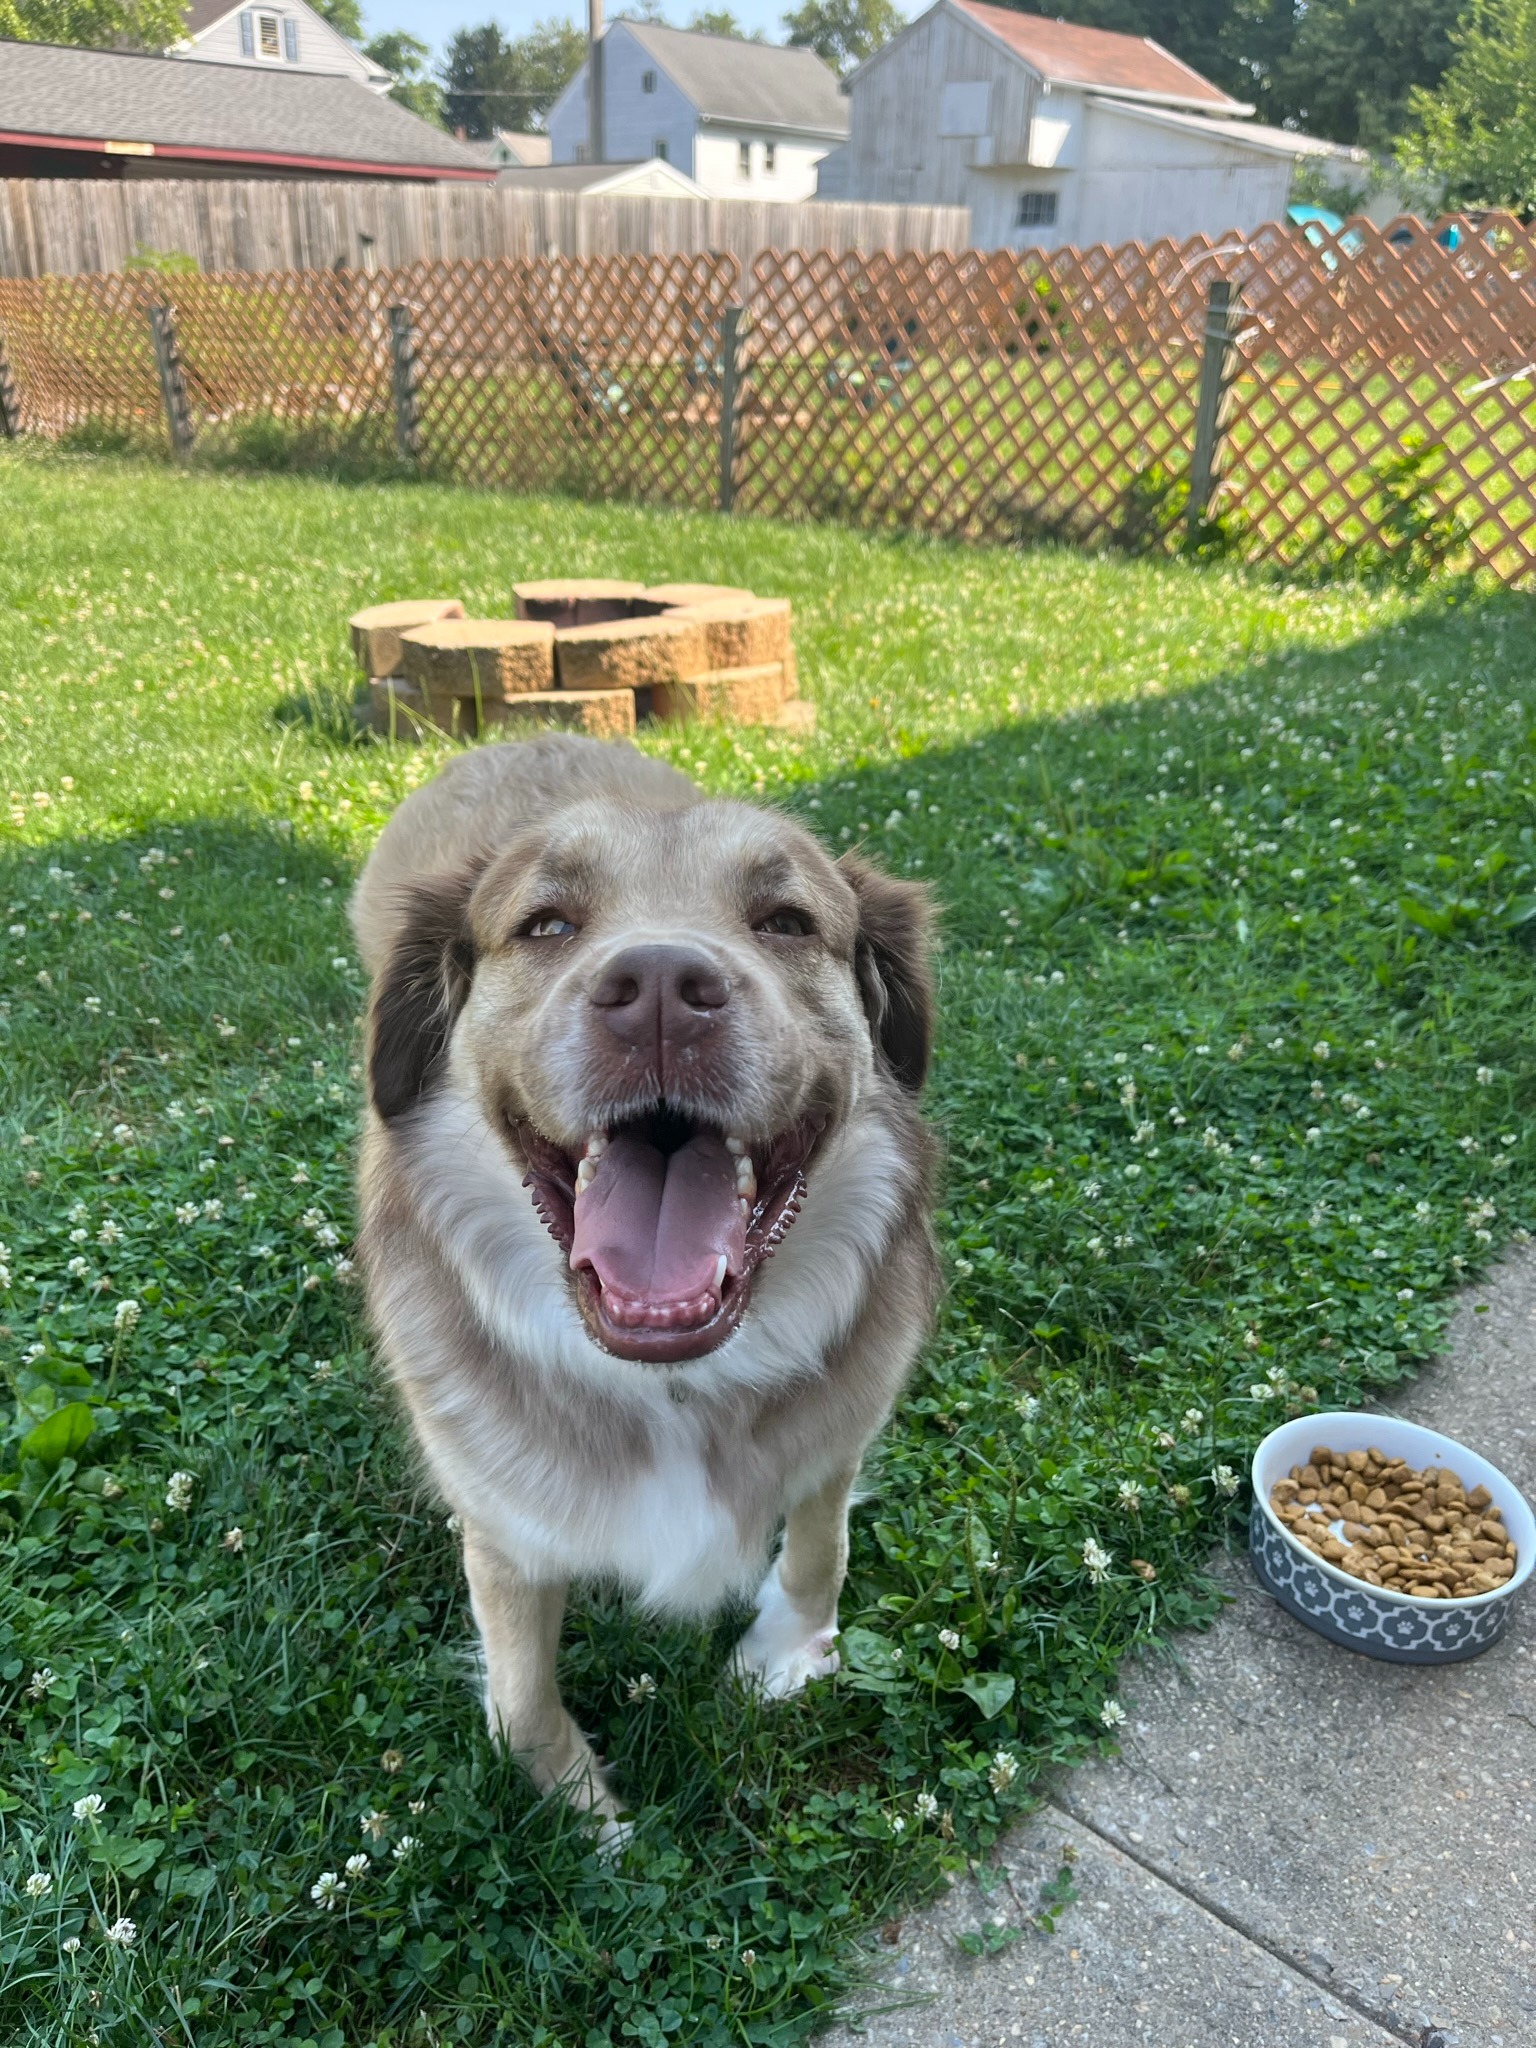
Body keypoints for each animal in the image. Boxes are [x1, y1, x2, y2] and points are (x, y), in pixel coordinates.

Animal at [351, 734, 939, 1836]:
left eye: (786, 920)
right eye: (545, 923)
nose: (662, 985)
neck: (668, 1382)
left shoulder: (843, 1430)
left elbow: (820, 1541)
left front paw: (784, 1653)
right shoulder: (501, 1526)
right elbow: (520, 1688)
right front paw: (584, 1813)